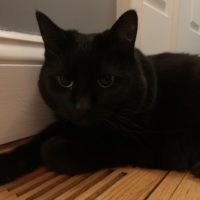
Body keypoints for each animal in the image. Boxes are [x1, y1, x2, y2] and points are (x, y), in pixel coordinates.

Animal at [0, 9, 200, 183]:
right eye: (64, 80)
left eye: (106, 80)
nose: (82, 106)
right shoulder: (65, 120)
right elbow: (38, 138)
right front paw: (7, 162)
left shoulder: (140, 143)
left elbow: (56, 150)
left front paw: (54, 145)